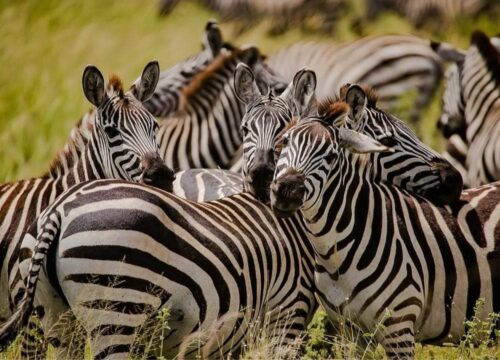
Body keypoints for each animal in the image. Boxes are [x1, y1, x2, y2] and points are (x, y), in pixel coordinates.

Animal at [270, 87, 500, 358]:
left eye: (330, 155)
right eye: (283, 144)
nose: (287, 190)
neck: (335, 254)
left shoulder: (399, 328)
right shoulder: (349, 332)